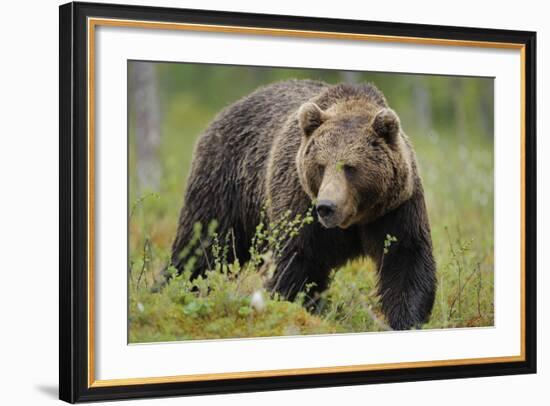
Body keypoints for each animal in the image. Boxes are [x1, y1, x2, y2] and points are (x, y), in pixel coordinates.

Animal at [170, 79, 438, 330]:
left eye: (350, 167)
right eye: (320, 165)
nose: (327, 206)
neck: (354, 220)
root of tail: (226, 110)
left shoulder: (395, 209)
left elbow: (406, 260)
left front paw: (406, 320)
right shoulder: (299, 203)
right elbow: (297, 263)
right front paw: (297, 309)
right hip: (226, 184)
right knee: (200, 246)